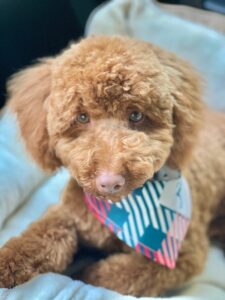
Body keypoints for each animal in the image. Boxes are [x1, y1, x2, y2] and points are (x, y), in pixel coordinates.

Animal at [0, 36, 225, 296]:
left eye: (136, 115)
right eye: (82, 117)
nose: (110, 182)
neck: (118, 209)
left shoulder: (183, 255)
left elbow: (121, 275)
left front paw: (84, 274)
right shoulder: (67, 214)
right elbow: (38, 236)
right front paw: (7, 263)